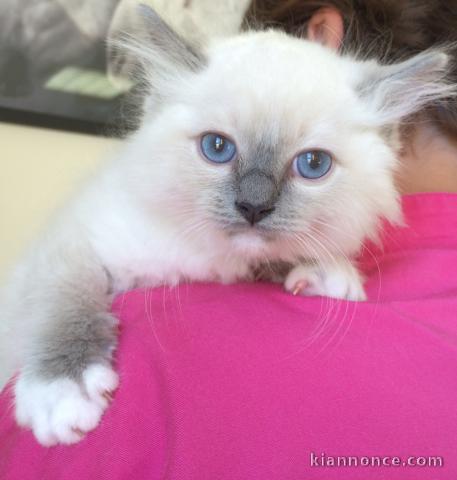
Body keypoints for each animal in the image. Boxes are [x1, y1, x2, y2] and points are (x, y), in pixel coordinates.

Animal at [0, 4, 450, 446]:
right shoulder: (74, 243)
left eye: (313, 164)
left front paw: (326, 274)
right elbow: (64, 305)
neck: (208, 260)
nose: (253, 207)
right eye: (217, 148)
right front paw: (62, 393)